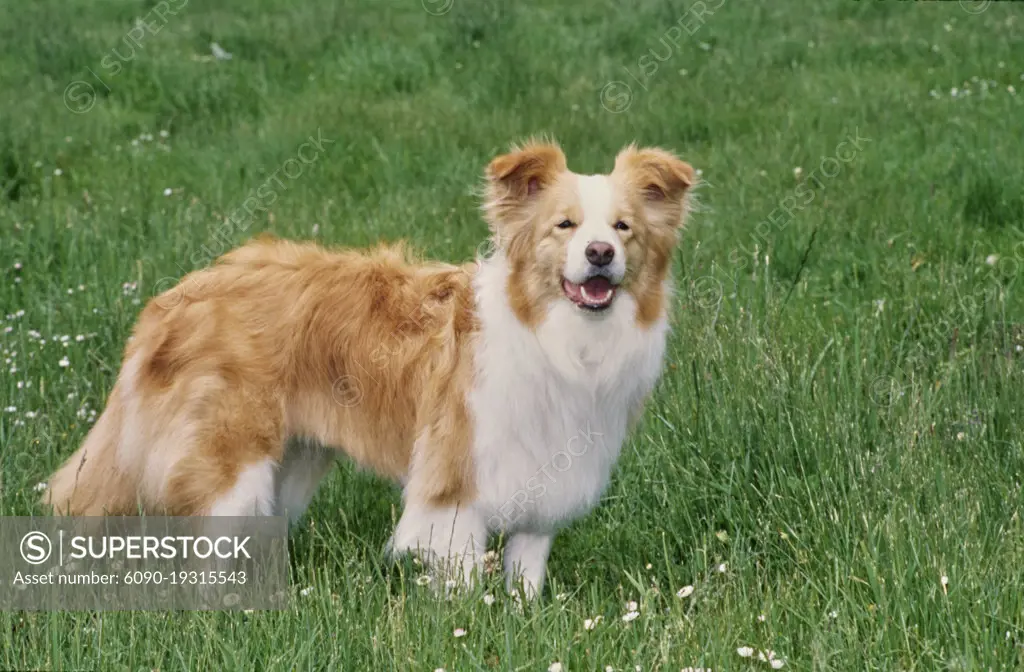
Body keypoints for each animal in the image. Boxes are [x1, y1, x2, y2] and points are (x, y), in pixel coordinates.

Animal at [48, 139, 700, 594]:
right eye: (563, 225)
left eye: (623, 228)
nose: (600, 254)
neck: (561, 336)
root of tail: (175, 297)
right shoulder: (452, 486)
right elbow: (463, 582)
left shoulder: (545, 475)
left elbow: (526, 572)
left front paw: (522, 616)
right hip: (231, 465)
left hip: (292, 461)